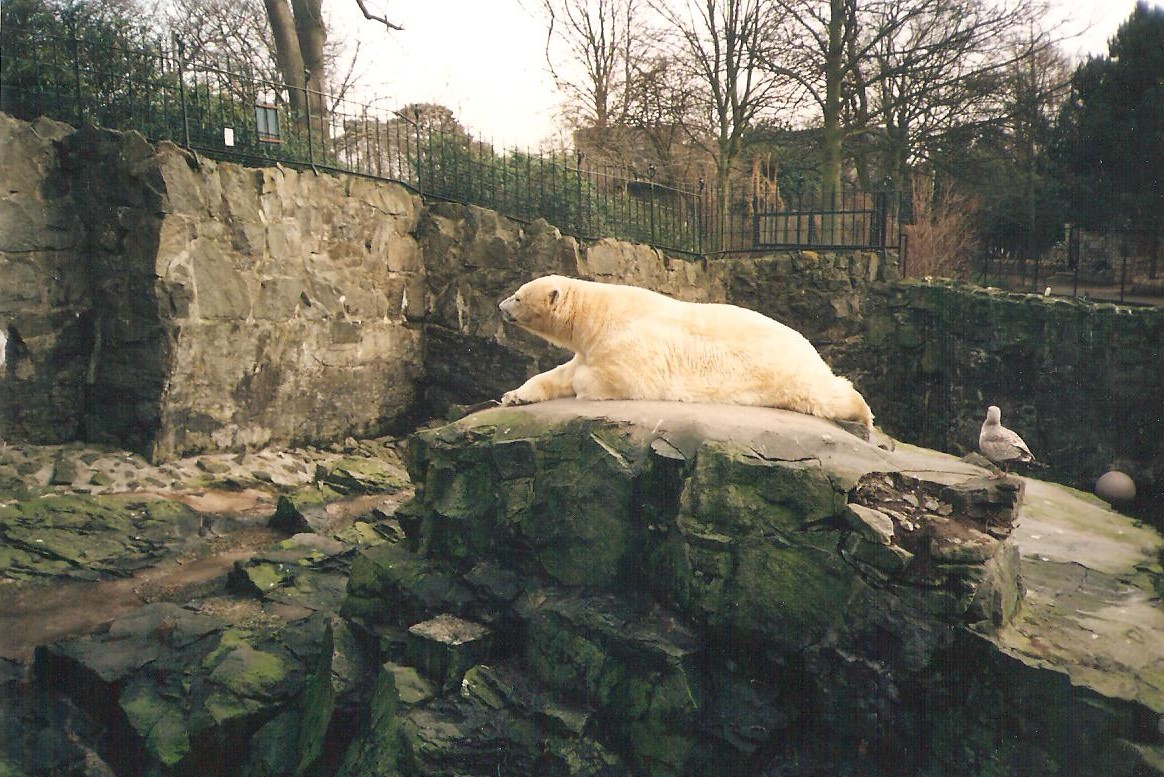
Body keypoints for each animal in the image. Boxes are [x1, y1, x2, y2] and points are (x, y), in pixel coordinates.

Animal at [497, 274, 874, 430]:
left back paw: (863, 414)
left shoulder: (632, 343)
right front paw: (513, 396)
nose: (501, 307)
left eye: (517, 296)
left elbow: (617, 377)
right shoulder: (589, 345)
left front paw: (583, 383)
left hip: (784, 372)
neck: (598, 316)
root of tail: (807, 345)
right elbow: (557, 374)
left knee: (824, 393)